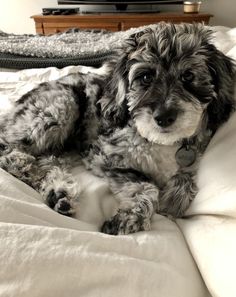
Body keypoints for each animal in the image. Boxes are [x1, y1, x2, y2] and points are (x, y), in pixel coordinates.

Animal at [0, 23, 236, 235]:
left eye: (188, 76)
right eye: (145, 77)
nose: (164, 117)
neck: (160, 142)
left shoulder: (191, 157)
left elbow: (185, 178)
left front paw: (173, 200)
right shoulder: (105, 158)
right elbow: (147, 186)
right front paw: (130, 217)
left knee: (48, 159)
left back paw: (58, 192)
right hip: (59, 107)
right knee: (10, 150)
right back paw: (26, 167)